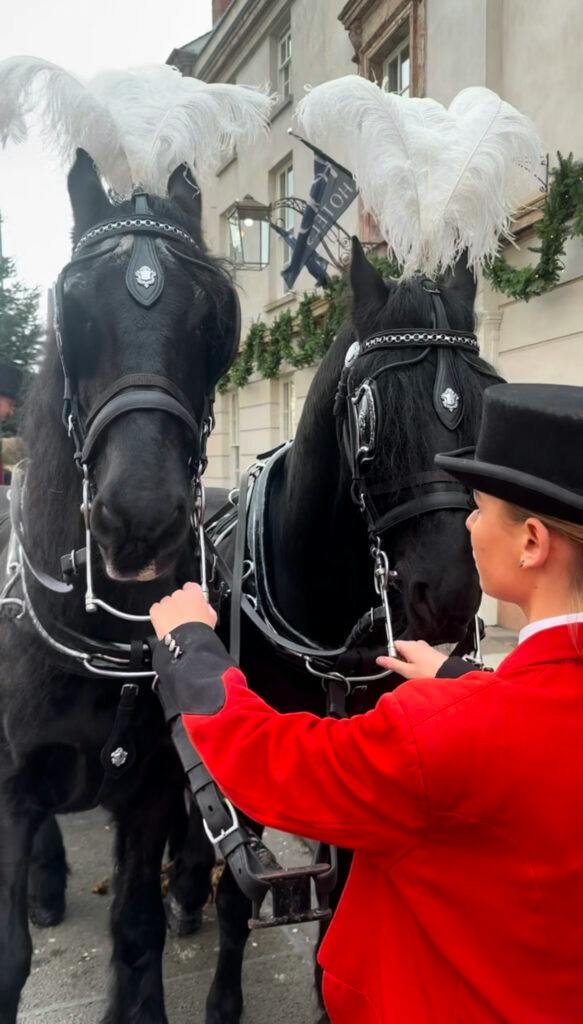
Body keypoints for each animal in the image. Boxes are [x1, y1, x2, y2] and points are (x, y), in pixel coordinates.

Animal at [0, 149, 240, 1024]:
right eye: (72, 308)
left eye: (216, 315)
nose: (139, 514)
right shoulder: (8, 791)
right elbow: (8, 955)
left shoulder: (152, 792)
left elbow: (137, 930)